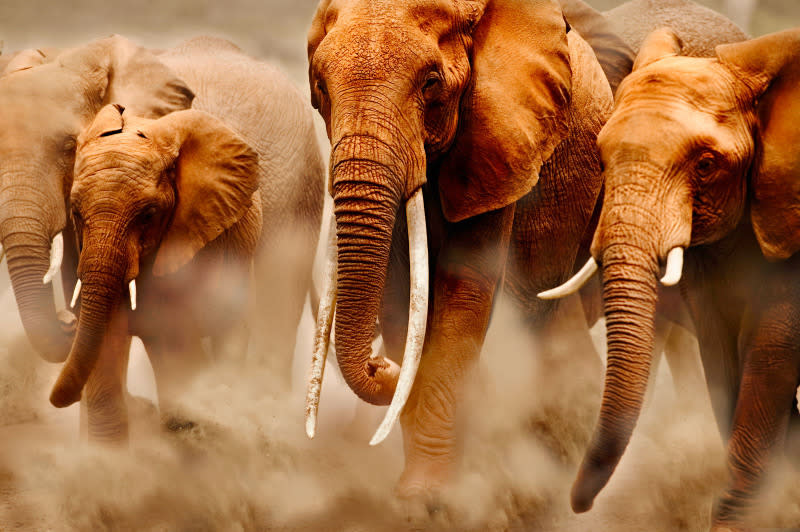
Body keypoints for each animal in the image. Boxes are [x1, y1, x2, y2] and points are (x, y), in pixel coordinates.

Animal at [304, 0, 752, 512]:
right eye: (320, 87)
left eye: (431, 82)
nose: (381, 367)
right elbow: (402, 300)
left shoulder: (501, 141)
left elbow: (464, 289)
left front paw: (428, 497)